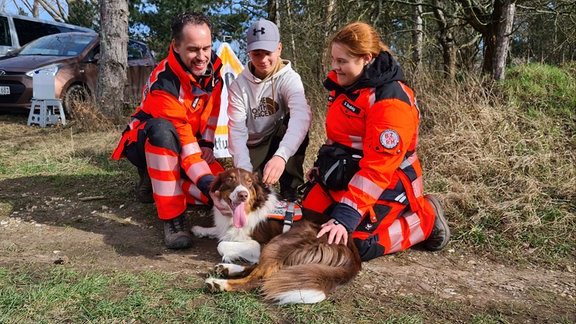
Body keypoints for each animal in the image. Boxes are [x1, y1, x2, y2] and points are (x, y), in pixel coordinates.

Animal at [191, 168, 360, 306]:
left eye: (249, 182)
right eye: (229, 179)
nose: (243, 194)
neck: (250, 208)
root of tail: (353, 253)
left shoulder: (257, 244)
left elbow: (222, 244)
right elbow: (219, 231)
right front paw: (200, 229)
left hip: (280, 242)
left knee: (260, 277)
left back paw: (220, 283)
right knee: (270, 271)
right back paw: (227, 269)